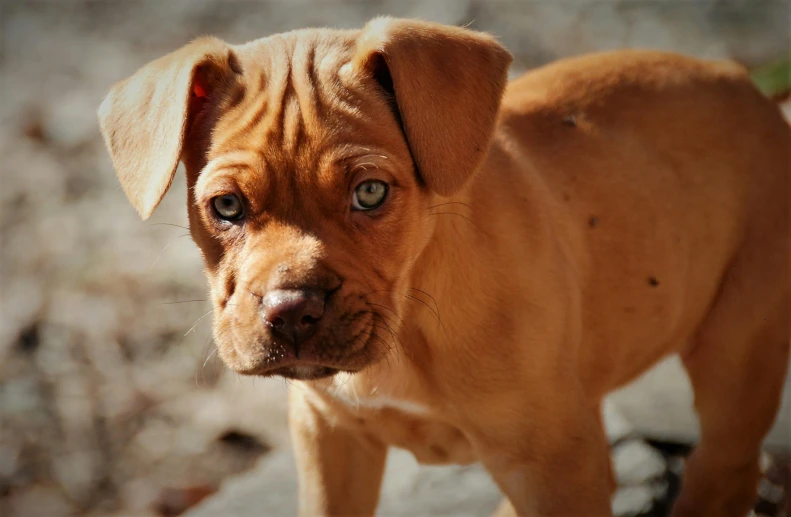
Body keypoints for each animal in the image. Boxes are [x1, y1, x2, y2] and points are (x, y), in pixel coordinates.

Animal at [100, 17, 791, 516]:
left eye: (370, 193)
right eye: (226, 206)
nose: (291, 311)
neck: (408, 328)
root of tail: (746, 84)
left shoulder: (553, 464)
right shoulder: (329, 439)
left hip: (738, 350)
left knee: (724, 466)